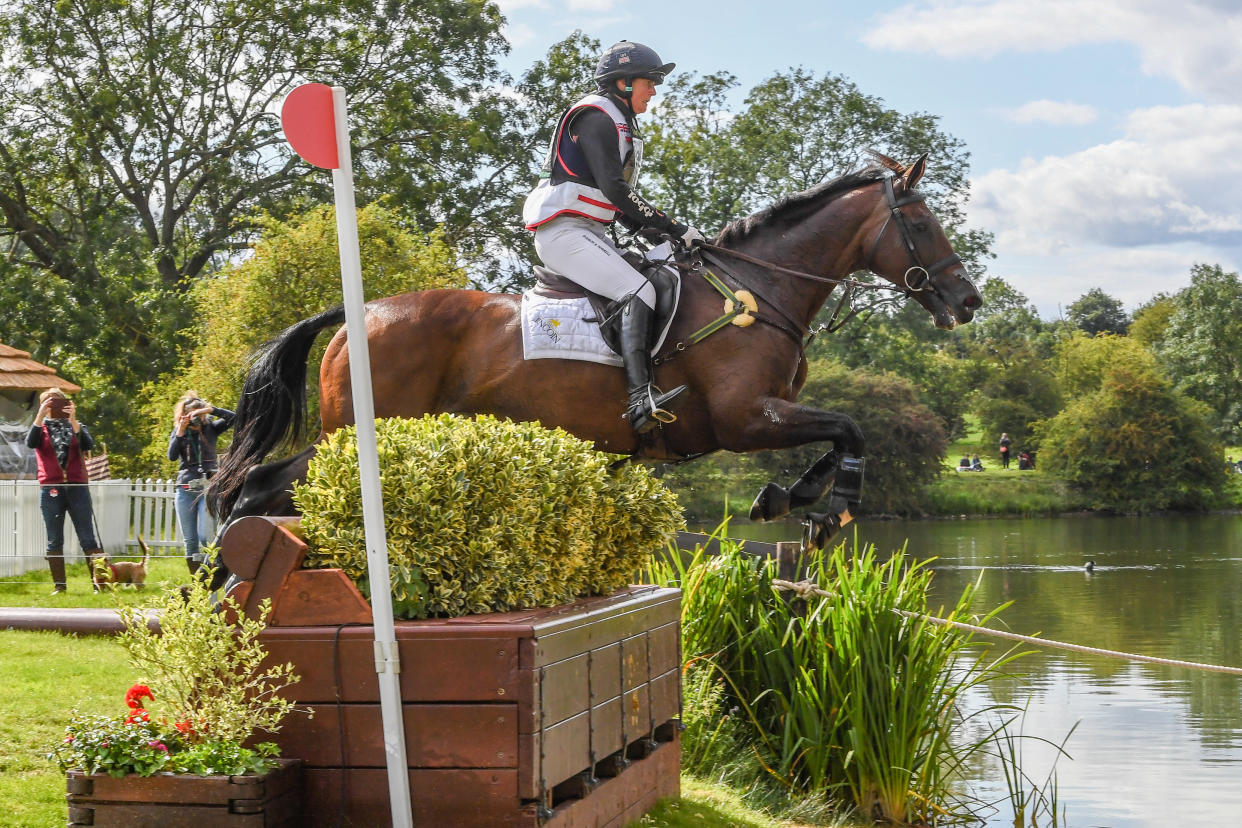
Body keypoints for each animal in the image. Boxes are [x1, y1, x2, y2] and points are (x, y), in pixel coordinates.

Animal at [206, 154, 978, 553]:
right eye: (918, 222)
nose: (967, 301)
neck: (759, 288)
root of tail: (362, 311)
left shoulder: (767, 414)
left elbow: (836, 434)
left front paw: (791, 496)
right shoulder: (742, 418)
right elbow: (851, 427)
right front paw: (832, 505)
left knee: (263, 490)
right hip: (359, 436)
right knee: (258, 489)